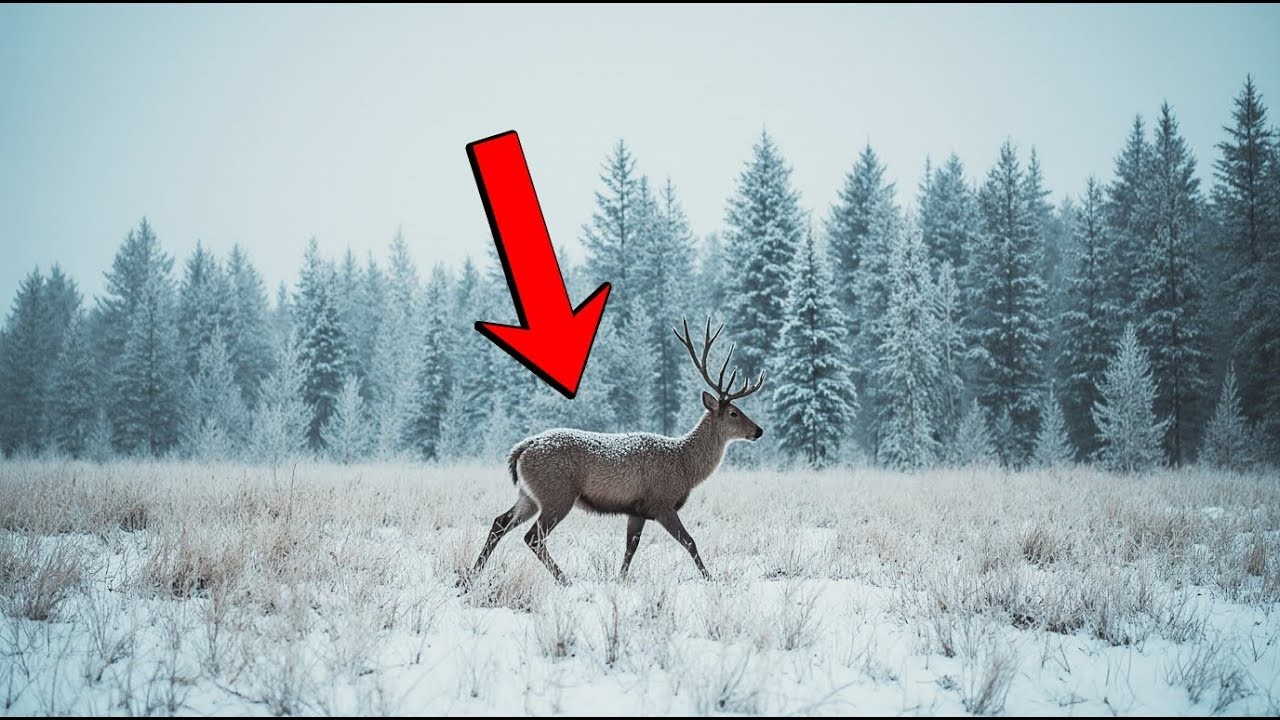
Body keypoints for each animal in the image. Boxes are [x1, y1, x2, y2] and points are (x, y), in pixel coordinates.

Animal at [465, 317, 765, 586]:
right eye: (734, 412)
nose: (759, 431)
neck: (685, 466)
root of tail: (521, 450)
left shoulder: (637, 508)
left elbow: (630, 547)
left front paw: (620, 579)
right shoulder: (661, 502)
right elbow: (689, 541)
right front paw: (709, 578)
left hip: (528, 495)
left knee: (500, 522)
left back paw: (472, 574)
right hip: (557, 493)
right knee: (533, 537)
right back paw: (564, 579)